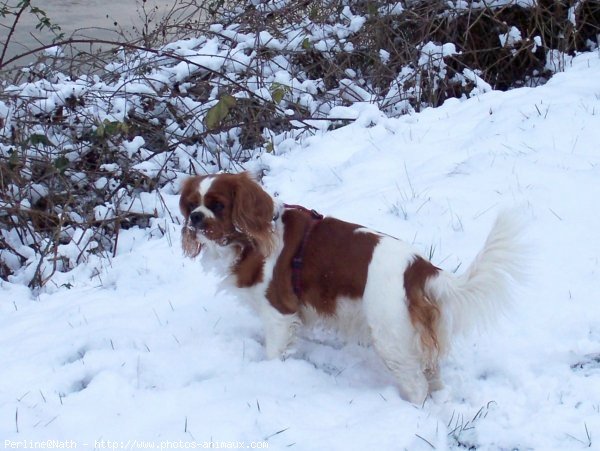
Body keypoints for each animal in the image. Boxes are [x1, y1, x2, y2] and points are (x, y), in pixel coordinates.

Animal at [179, 171, 524, 404]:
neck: (250, 238)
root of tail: (419, 268)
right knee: (433, 373)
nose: (195, 218)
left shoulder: (278, 312)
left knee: (417, 385)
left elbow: (274, 352)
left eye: (218, 206)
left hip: (390, 338)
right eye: (191, 204)